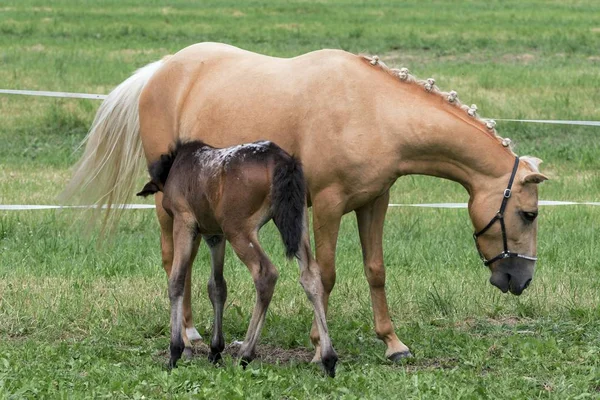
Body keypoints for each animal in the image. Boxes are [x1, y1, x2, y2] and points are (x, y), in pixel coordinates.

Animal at [135, 141, 338, 376]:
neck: (176, 165)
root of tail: (282, 160)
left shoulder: (184, 221)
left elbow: (176, 280)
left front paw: (176, 351)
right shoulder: (215, 235)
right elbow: (217, 287)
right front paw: (215, 350)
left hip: (238, 229)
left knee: (265, 273)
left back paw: (245, 354)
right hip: (297, 219)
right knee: (310, 275)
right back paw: (328, 358)